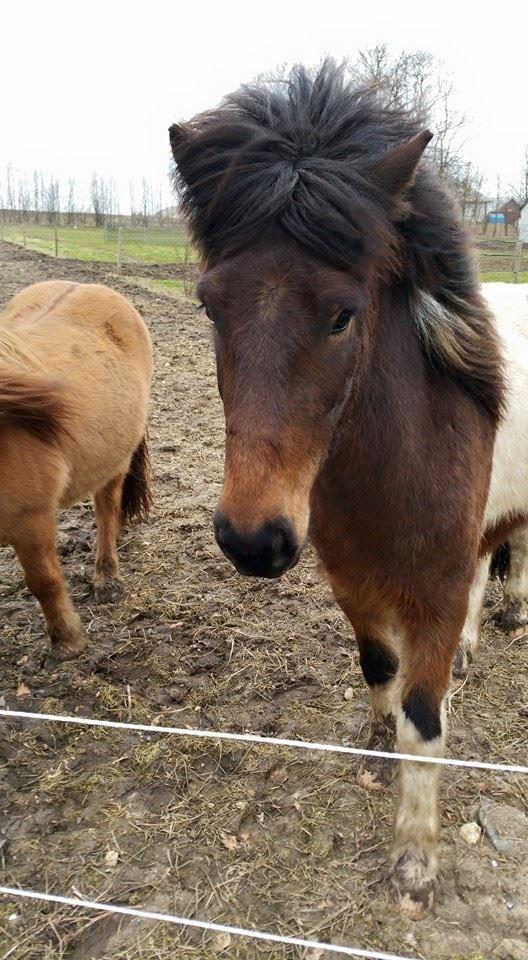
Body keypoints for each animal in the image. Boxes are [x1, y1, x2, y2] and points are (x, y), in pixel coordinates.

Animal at [0, 280, 153, 660]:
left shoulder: (30, 518)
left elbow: (44, 582)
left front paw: (67, 640)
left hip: (116, 459)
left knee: (107, 510)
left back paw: (107, 578)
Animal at [170, 63, 524, 920]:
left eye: (342, 315)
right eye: (208, 303)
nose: (253, 539)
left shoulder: (432, 595)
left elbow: (425, 723)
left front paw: (415, 864)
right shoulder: (352, 579)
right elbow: (375, 667)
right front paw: (373, 741)